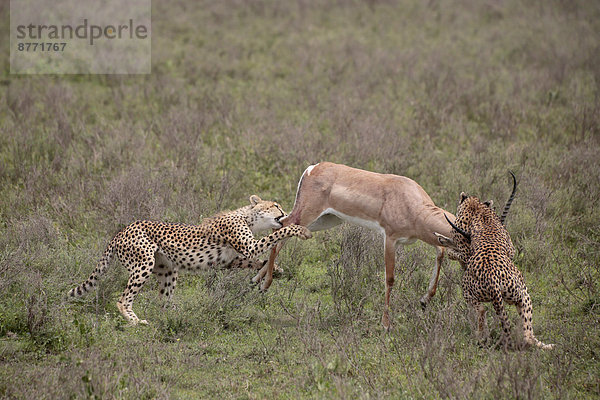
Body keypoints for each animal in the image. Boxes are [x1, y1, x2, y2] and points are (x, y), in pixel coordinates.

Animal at [69, 195, 312, 324]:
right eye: (276, 206)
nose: (286, 212)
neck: (248, 217)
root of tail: (120, 231)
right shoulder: (249, 247)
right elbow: (275, 236)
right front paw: (300, 230)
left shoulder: (228, 261)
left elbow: (254, 261)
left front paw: (275, 269)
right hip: (143, 263)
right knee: (123, 299)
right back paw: (136, 321)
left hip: (167, 270)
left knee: (163, 301)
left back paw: (177, 316)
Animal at [436, 191, 552, 350]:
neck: (478, 210)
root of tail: (492, 280)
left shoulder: (465, 250)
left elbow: (452, 251)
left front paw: (443, 241)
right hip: (521, 294)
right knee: (527, 335)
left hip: (475, 292)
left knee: (483, 311)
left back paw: (481, 337)